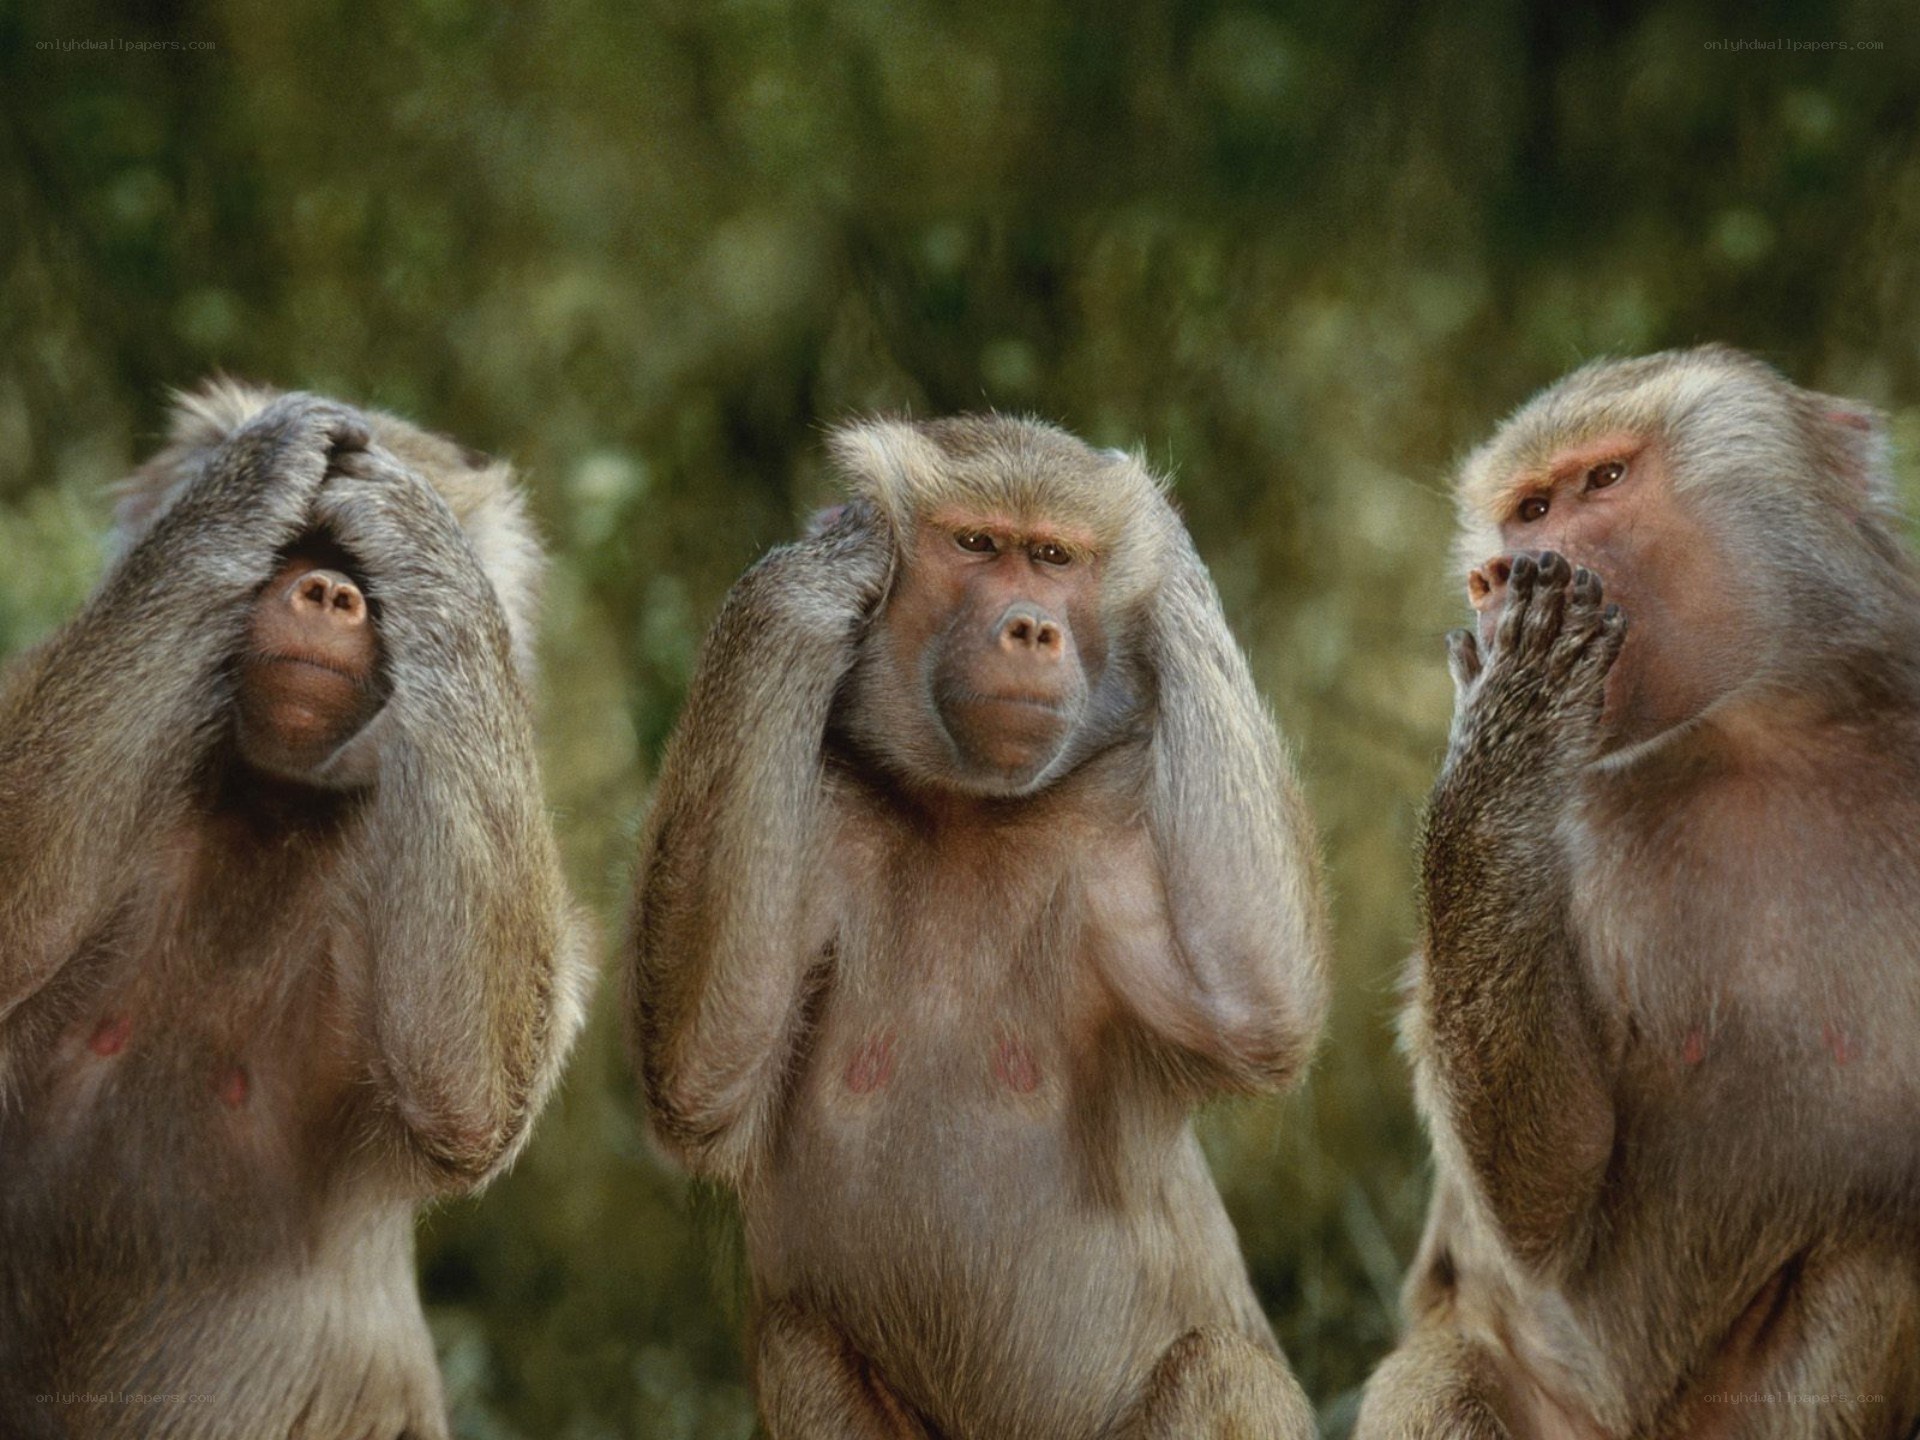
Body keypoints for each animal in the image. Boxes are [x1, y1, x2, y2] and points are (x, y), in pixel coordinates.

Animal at [0, 382, 592, 1440]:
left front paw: (413, 523)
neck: (266, 806)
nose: (325, 592)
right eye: (296, 548)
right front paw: (255, 469)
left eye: (360, 569)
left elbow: (472, 1090)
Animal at [626, 415, 1330, 1440]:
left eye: (1054, 557)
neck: (964, 811)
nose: (1032, 627)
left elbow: (1259, 1006)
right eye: (976, 544)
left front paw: (1169, 553)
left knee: (1225, 1371)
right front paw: (820, 568)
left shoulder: (1112, 830)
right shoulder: (822, 814)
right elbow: (700, 1076)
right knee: (799, 1347)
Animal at [1356, 346, 1920, 1440]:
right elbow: (1549, 1194)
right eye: (1528, 508)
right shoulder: (1571, 824)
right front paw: (1509, 721)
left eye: (1603, 482)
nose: (1496, 574)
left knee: (1882, 1252)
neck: (1753, 737)